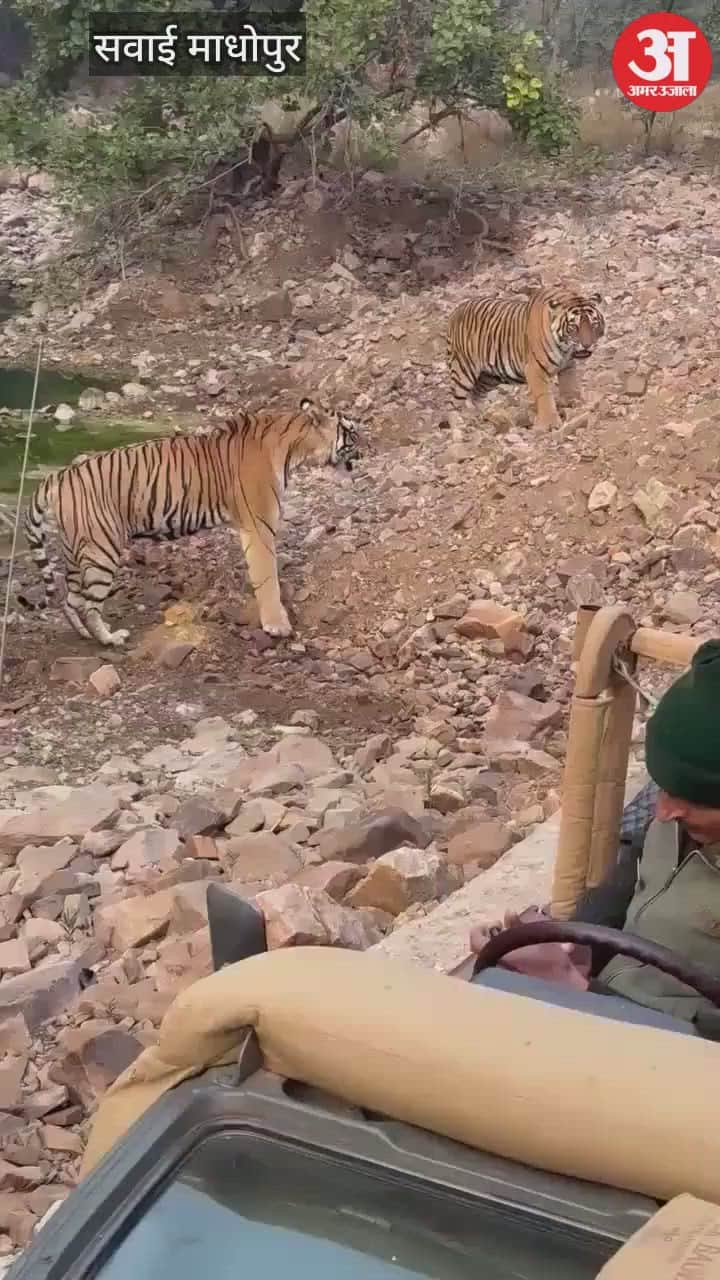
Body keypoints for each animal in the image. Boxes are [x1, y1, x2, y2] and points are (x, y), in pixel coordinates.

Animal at [20, 398, 361, 648]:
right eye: (352, 430)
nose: (366, 446)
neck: (294, 444)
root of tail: (57, 476)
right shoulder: (260, 525)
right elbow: (267, 577)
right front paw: (278, 626)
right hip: (101, 549)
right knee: (89, 603)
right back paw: (110, 638)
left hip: (77, 550)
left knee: (69, 599)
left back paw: (83, 633)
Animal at [446, 286, 605, 430]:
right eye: (574, 327)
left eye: (594, 324)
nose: (587, 345)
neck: (565, 348)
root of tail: (456, 311)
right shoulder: (535, 369)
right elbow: (544, 396)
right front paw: (550, 423)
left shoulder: (568, 365)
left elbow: (570, 386)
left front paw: (574, 404)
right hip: (463, 372)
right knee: (453, 404)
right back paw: (460, 426)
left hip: (489, 377)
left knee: (476, 395)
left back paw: (482, 418)